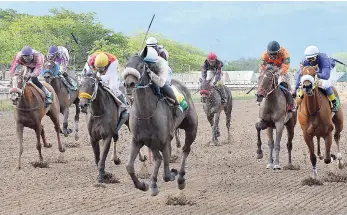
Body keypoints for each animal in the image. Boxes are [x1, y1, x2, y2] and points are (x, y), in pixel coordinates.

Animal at [122, 47, 198, 197]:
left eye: (141, 66)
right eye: (126, 66)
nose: (129, 84)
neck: (146, 113)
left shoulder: (164, 140)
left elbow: (167, 174)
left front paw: (172, 174)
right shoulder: (138, 140)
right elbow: (129, 166)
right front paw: (143, 185)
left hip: (191, 129)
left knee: (185, 150)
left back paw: (180, 178)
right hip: (152, 142)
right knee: (158, 158)